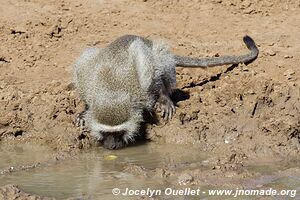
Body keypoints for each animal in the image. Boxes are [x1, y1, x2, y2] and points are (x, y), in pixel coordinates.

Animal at [72, 34, 258, 150]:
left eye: (119, 133)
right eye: (105, 133)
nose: (111, 146)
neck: (112, 92)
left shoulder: (143, 92)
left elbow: (154, 76)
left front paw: (163, 100)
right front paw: (84, 112)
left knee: (152, 58)